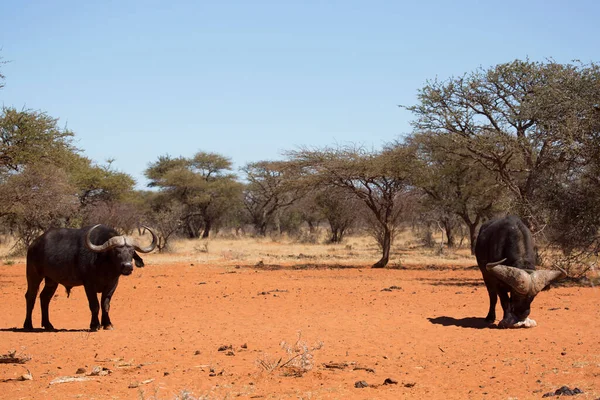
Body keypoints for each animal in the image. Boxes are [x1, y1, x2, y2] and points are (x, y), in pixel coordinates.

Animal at [24, 225, 158, 332]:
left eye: (132, 251)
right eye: (116, 251)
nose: (127, 266)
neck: (104, 266)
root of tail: (34, 244)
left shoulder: (112, 284)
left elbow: (105, 304)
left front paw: (107, 324)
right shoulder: (88, 285)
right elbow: (94, 305)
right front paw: (94, 325)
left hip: (52, 281)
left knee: (44, 298)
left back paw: (48, 325)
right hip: (33, 275)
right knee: (30, 296)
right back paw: (28, 325)